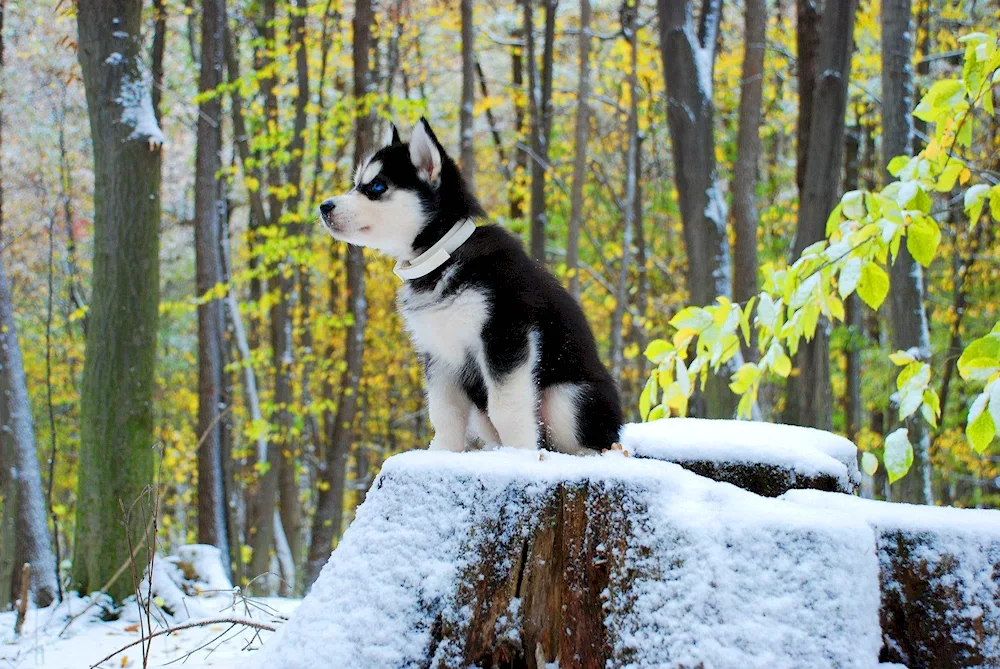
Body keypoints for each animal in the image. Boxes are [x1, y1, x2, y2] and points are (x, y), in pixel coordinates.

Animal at [320, 118, 620, 454]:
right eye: (356, 184)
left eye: (376, 187)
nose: (324, 206)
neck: (443, 258)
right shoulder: (439, 352)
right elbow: (444, 411)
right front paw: (441, 451)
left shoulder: (505, 336)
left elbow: (506, 409)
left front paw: (520, 453)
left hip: (567, 397)